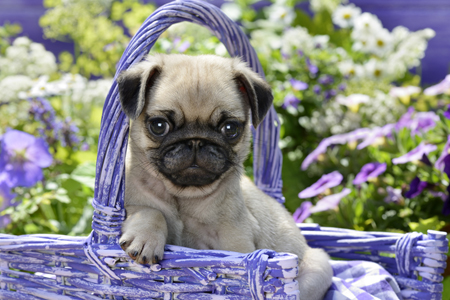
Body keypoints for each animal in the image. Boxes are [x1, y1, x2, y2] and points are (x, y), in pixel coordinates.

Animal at [118, 54, 332, 300]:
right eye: (159, 125)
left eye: (230, 128)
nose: (196, 141)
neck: (183, 196)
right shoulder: (130, 204)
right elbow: (151, 211)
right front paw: (146, 238)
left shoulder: (234, 240)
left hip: (318, 268)